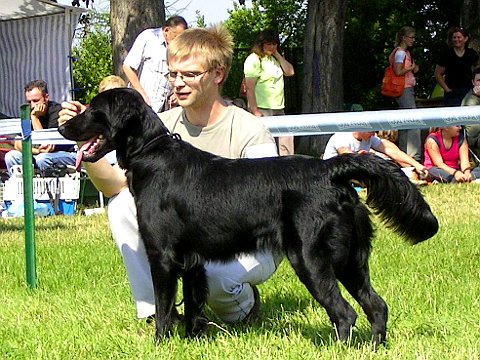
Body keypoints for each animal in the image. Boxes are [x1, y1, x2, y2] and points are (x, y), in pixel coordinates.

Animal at [59, 88, 438, 344]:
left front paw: (160, 344)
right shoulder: (192, 261)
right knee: (377, 306)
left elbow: (165, 308)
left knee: (345, 313)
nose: (62, 127)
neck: (152, 153)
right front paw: (193, 339)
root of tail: (330, 169)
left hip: (310, 258)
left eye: (93, 110)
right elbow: (193, 305)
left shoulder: (163, 256)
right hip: (350, 260)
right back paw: (374, 347)